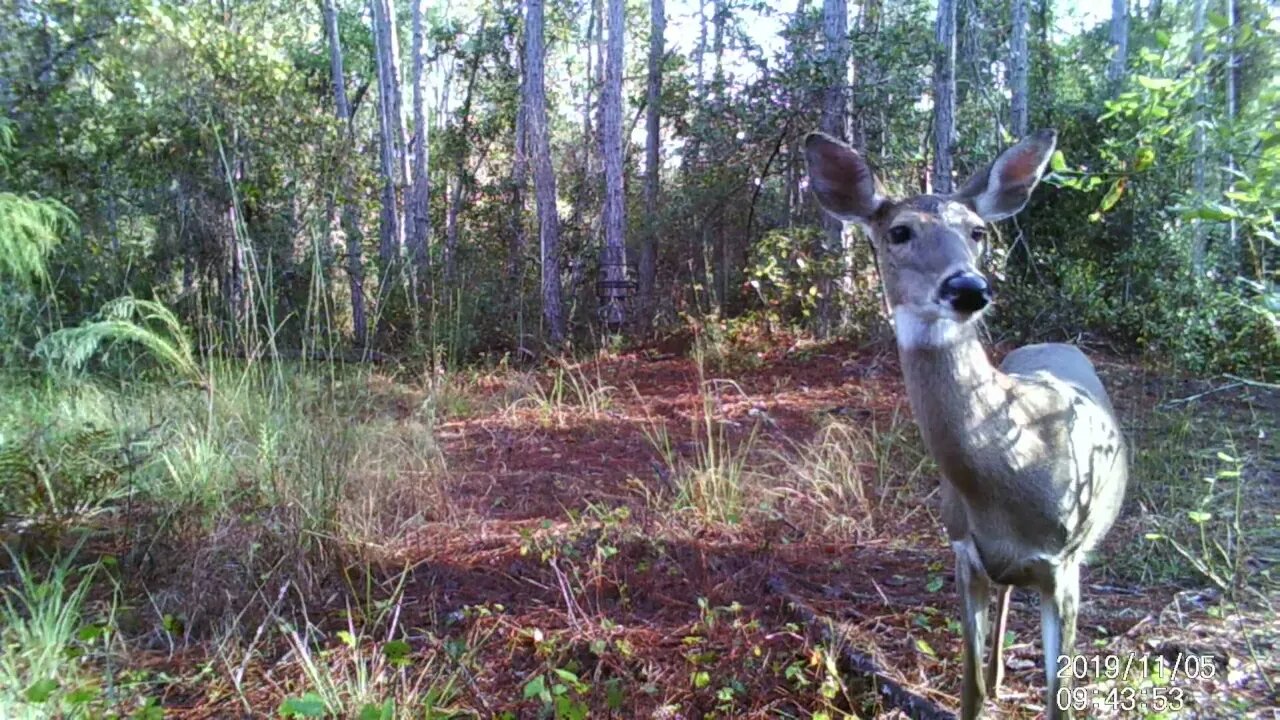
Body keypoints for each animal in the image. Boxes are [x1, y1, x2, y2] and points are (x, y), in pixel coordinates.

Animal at [803, 130, 1126, 717]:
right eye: (899, 231)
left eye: (978, 231)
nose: (969, 288)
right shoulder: (962, 552)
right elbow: (968, 688)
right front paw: (985, 684)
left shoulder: (1063, 563)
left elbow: (1058, 698)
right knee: (1006, 593)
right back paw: (1000, 674)